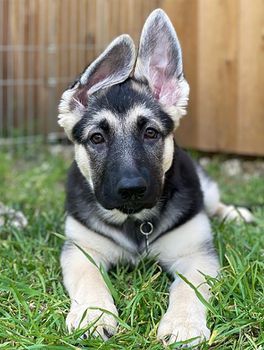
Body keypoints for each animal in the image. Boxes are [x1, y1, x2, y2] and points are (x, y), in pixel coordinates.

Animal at [57, 8, 252, 348]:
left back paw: (235, 214)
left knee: (214, 201)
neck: (135, 221)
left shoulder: (195, 255)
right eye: (97, 138)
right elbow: (90, 280)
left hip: (205, 189)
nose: (131, 189)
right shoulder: (81, 251)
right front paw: (93, 315)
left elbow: (188, 287)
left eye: (150, 133)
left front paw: (184, 324)